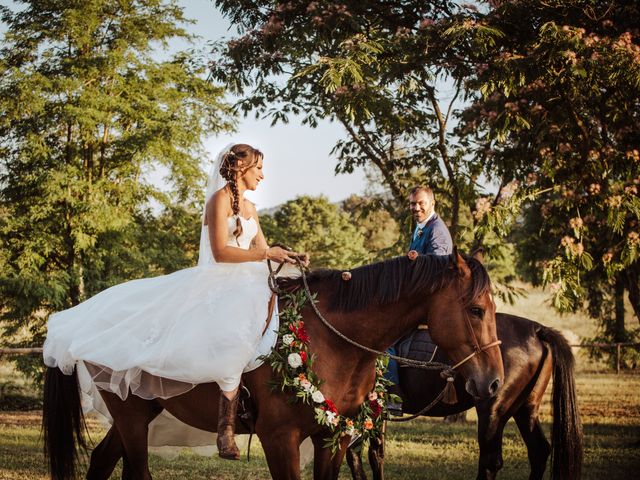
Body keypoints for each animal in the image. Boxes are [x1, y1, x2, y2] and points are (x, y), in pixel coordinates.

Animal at [43, 253, 504, 478]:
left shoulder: (333, 437)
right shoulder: (280, 439)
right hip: (132, 416)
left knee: (103, 462)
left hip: (138, 412)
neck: (331, 338)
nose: (494, 383)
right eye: (477, 309)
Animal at [348, 314, 584, 480]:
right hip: (526, 409)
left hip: (492, 411)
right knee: (538, 452)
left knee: (490, 461)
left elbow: (354, 453)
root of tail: (536, 330)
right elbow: (375, 453)